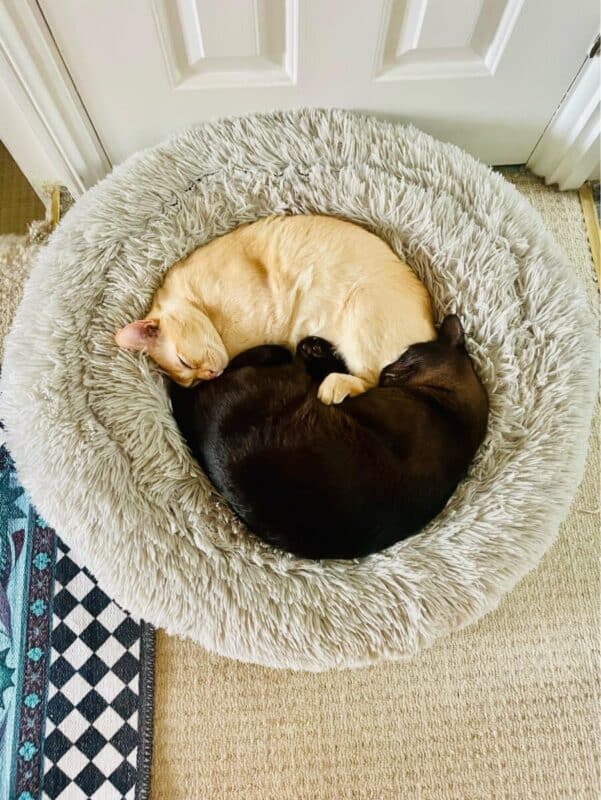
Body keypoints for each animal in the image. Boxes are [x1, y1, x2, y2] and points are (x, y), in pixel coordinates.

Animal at [116, 216, 436, 404]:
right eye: (193, 382)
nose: (209, 376)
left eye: (184, 363)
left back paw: (332, 387)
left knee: (370, 380)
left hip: (360, 318)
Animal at [169, 316, 488, 560]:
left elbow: (334, 375)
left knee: (278, 356)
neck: (456, 418)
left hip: (281, 376)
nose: (385, 370)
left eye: (407, 354)